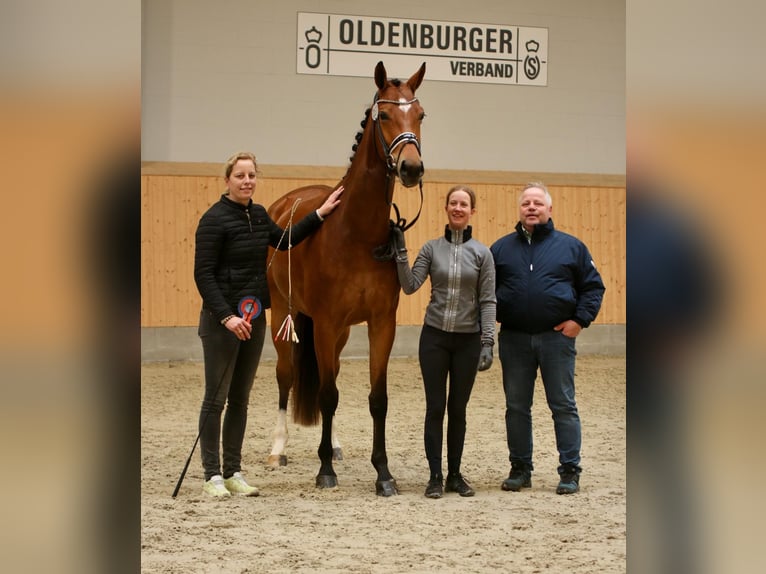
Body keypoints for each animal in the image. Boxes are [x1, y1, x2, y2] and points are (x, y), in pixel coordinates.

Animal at [268, 60, 428, 498]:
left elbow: (376, 398)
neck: (356, 233)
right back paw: (278, 448)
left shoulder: (380, 324)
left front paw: (383, 473)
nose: (411, 168)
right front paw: (324, 471)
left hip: (337, 335)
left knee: (332, 374)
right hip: (282, 315)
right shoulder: (324, 324)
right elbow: (326, 395)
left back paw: (335, 445)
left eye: (420, 115)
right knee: (286, 377)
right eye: (384, 116)